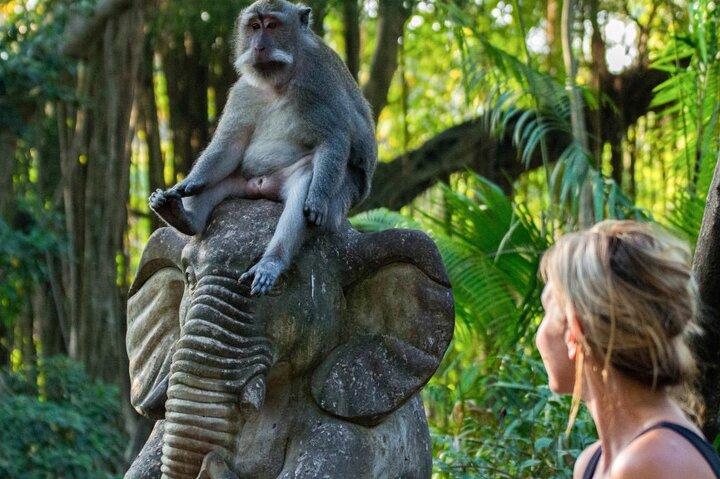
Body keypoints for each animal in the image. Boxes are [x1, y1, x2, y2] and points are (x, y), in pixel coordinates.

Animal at [149, 0, 377, 296]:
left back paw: (271, 262)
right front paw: (189, 183)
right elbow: (229, 147)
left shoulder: (318, 81)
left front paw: (317, 197)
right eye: (255, 26)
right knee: (221, 180)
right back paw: (182, 217)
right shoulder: (243, 91)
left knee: (305, 183)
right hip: (243, 184)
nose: (258, 47)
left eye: (273, 25)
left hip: (343, 192)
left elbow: (333, 138)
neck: (278, 80)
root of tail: (264, 187)